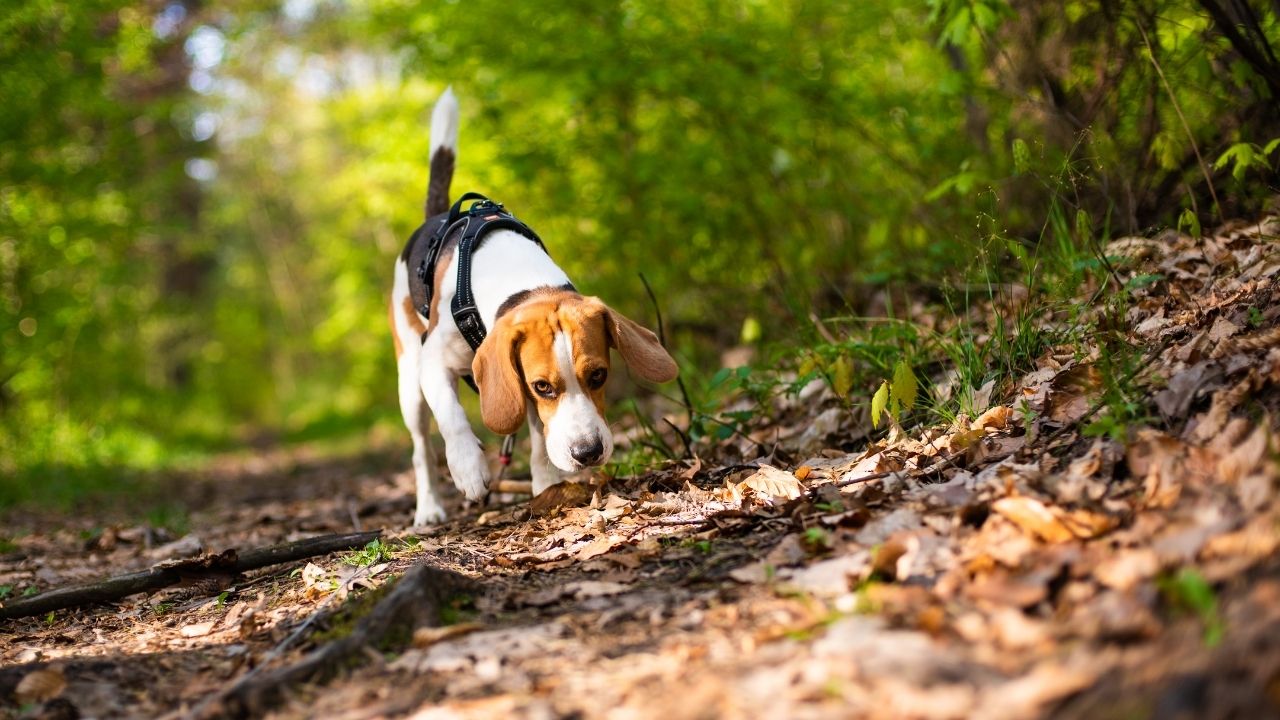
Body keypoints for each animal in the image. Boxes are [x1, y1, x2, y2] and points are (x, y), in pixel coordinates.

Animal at [386, 90, 680, 527]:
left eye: (599, 375)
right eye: (544, 386)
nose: (588, 453)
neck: (522, 281)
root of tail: (435, 218)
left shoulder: (517, 383)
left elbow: (541, 437)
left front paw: (546, 485)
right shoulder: (435, 361)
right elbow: (452, 416)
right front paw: (469, 467)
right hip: (409, 379)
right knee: (421, 445)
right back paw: (429, 507)